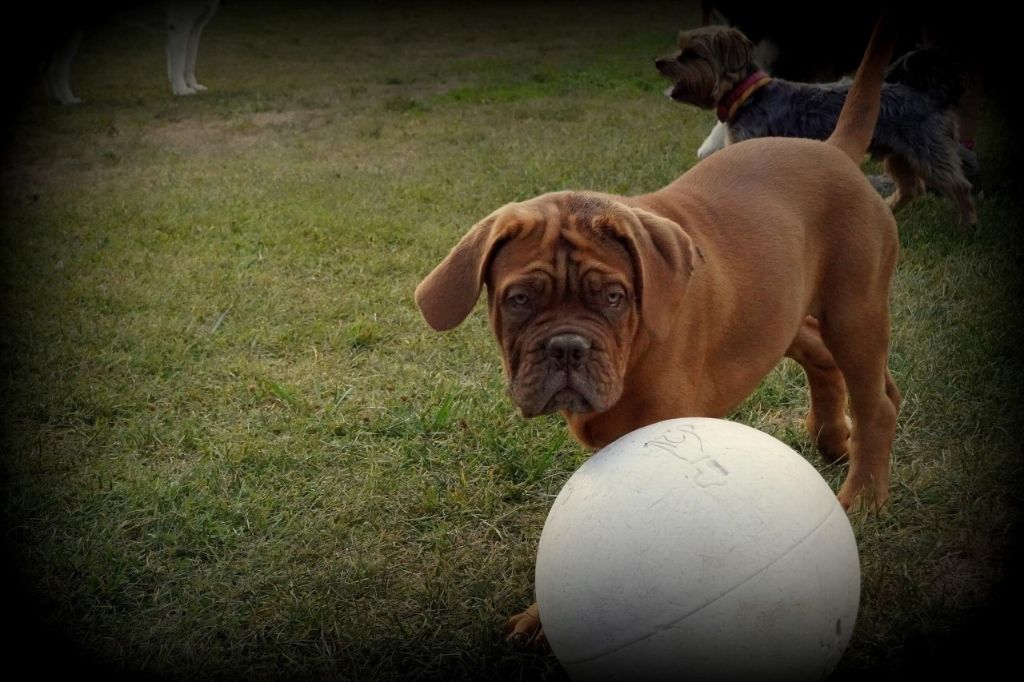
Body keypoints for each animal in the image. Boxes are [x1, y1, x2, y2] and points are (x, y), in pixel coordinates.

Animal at [413, 17, 897, 643]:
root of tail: (834, 151)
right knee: (834, 365)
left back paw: (863, 494)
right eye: (518, 300)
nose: (566, 347)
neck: (635, 350)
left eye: (614, 298)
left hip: (852, 311)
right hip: (785, 311)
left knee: (874, 402)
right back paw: (831, 436)